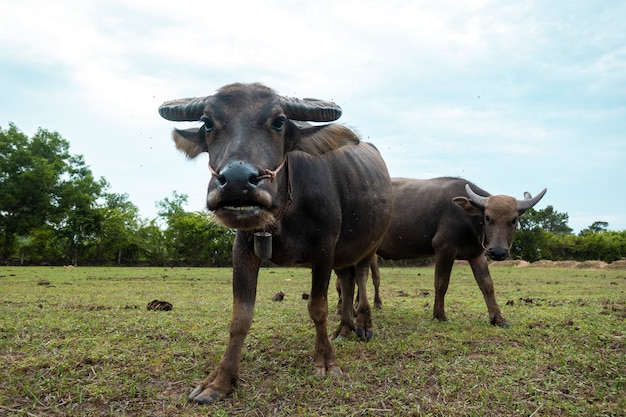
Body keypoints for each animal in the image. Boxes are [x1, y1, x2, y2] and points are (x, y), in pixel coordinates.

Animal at [157, 82, 390, 404]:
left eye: (278, 122)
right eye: (208, 123)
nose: (237, 181)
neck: (283, 215)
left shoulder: (324, 250)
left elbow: (318, 307)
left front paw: (326, 362)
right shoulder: (244, 248)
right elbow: (240, 317)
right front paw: (219, 381)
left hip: (370, 245)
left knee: (363, 279)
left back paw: (364, 324)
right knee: (346, 279)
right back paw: (344, 328)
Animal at [336, 177, 540, 326]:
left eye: (513, 220)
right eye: (488, 217)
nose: (498, 252)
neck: (468, 219)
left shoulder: (477, 254)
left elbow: (487, 284)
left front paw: (497, 317)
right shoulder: (444, 248)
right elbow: (441, 283)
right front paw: (439, 314)